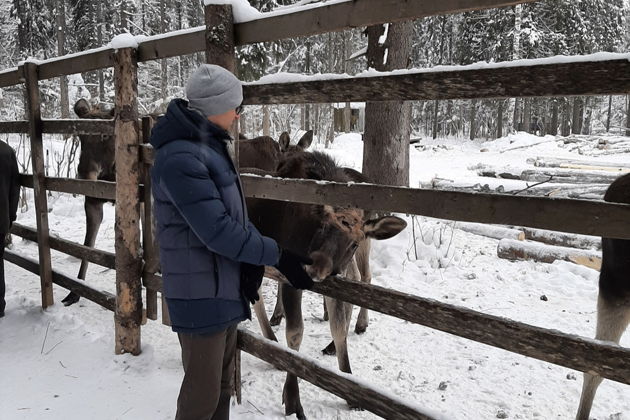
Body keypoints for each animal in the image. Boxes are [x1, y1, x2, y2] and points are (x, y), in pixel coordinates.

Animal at [62, 100, 116, 306]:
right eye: (81, 136)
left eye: (105, 134)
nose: (84, 174)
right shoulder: (92, 202)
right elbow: (86, 246)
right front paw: (74, 292)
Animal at [247, 149, 410, 418]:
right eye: (323, 225)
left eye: (354, 242)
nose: (314, 268)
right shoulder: (291, 280)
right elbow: (295, 334)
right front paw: (292, 399)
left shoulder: (335, 281)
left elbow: (339, 328)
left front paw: (350, 388)